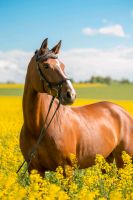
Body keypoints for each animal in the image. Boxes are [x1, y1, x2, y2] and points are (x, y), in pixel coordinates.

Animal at [19, 38, 133, 176]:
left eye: (63, 65)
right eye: (46, 66)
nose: (71, 94)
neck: (37, 127)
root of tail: (123, 112)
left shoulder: (66, 168)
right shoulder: (34, 170)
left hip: (124, 161)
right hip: (107, 159)